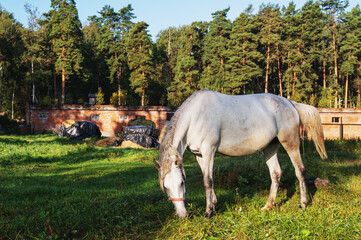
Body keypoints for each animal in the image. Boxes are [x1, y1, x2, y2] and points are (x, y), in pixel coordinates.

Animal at [153, 89, 328, 218]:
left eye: (182, 183)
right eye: (166, 187)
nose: (182, 215)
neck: (196, 116)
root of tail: (290, 103)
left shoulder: (209, 150)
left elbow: (207, 180)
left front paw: (208, 212)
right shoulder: (199, 155)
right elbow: (207, 178)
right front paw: (214, 205)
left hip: (290, 143)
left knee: (300, 170)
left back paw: (303, 204)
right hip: (270, 148)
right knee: (276, 173)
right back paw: (268, 206)